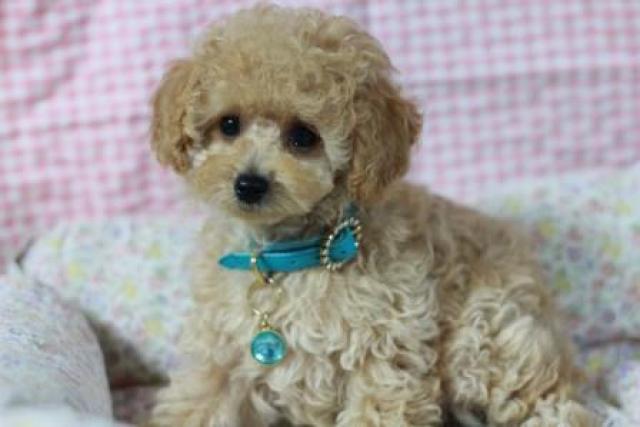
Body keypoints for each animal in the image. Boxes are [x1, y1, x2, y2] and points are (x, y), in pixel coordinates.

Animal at [147, 5, 599, 426]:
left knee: (548, 401)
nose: (249, 184)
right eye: (228, 124)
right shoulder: (219, 354)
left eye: (302, 136)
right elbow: (199, 404)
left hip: (486, 337)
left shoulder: (386, 352)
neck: (288, 257)